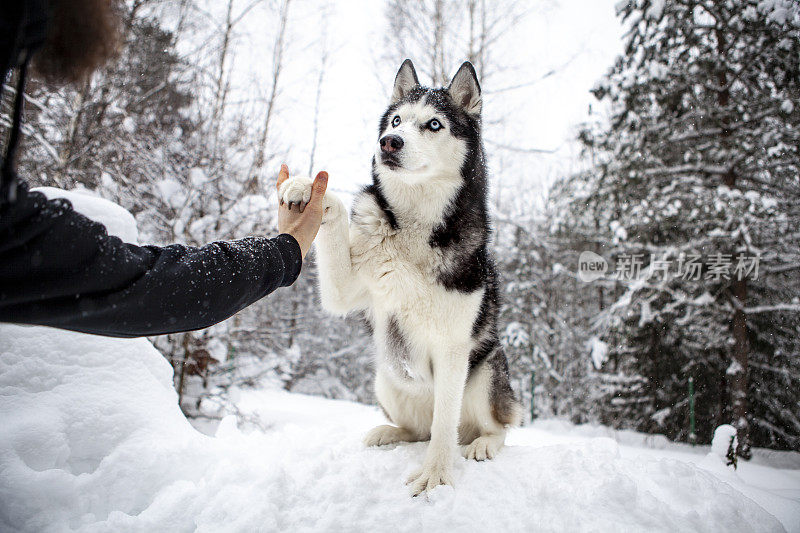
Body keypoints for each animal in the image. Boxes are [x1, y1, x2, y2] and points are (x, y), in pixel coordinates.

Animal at [278, 59, 520, 494]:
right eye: (396, 120)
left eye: (434, 124)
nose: (389, 142)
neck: (414, 225)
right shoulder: (348, 290)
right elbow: (337, 213)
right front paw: (306, 188)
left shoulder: (453, 347)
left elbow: (445, 425)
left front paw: (436, 475)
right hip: (386, 377)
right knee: (419, 430)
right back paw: (388, 433)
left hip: (485, 373)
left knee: (490, 426)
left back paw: (484, 443)